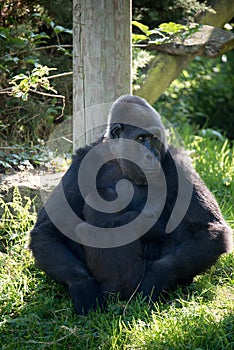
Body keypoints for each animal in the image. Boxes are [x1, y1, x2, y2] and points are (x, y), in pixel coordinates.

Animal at [30, 93, 233, 314]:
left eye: (155, 138)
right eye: (141, 139)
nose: (151, 155)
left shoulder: (177, 161)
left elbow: (208, 228)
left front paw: (155, 281)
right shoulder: (82, 160)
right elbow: (48, 229)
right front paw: (83, 286)